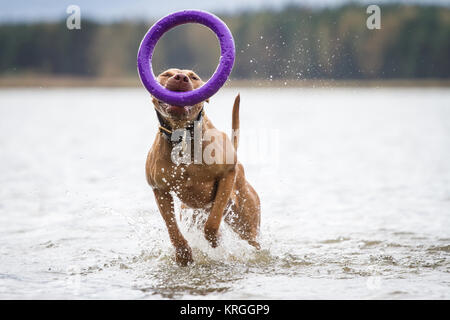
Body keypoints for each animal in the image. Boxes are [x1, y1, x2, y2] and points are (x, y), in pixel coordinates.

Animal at [146, 69, 260, 266]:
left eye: (193, 77)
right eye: (167, 74)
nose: (180, 77)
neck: (182, 135)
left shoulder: (227, 175)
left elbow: (213, 222)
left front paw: (215, 240)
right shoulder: (159, 189)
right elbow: (172, 227)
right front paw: (183, 254)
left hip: (246, 222)